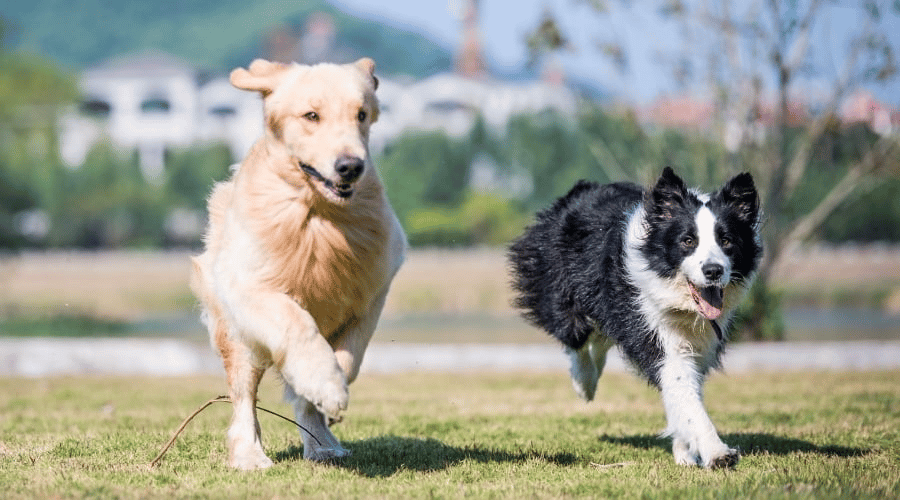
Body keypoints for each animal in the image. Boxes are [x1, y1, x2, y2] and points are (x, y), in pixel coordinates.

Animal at [192, 57, 406, 468]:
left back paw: (322, 444)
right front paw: (327, 385)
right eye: (311, 115)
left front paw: (329, 391)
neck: (318, 212)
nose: (350, 166)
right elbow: (298, 325)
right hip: (236, 334)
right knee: (244, 396)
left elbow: (349, 358)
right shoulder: (252, 287)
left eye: (361, 115)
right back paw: (250, 455)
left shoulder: (373, 292)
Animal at [506, 168, 760, 468]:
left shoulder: (699, 343)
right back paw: (585, 384)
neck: (679, 301)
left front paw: (685, 453)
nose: (713, 271)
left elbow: (684, 393)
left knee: (600, 335)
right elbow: (683, 391)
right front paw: (717, 452)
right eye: (688, 241)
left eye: (727, 241)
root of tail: (579, 191)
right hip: (558, 285)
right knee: (575, 334)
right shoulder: (651, 324)